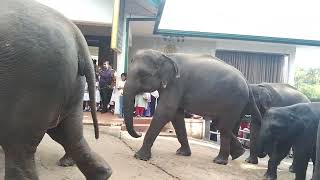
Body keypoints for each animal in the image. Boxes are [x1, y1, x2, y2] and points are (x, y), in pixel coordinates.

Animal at [0, 0, 112, 179]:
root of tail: (75, 34)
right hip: (72, 85)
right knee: (70, 133)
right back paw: (102, 174)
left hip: (31, 81)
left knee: (18, 144)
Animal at [123, 49, 262, 165]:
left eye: (143, 75)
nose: (139, 134)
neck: (165, 55)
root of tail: (247, 82)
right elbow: (176, 116)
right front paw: (182, 153)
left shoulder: (176, 84)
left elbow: (166, 111)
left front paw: (140, 157)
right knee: (220, 125)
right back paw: (239, 153)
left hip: (234, 101)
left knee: (223, 127)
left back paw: (219, 161)